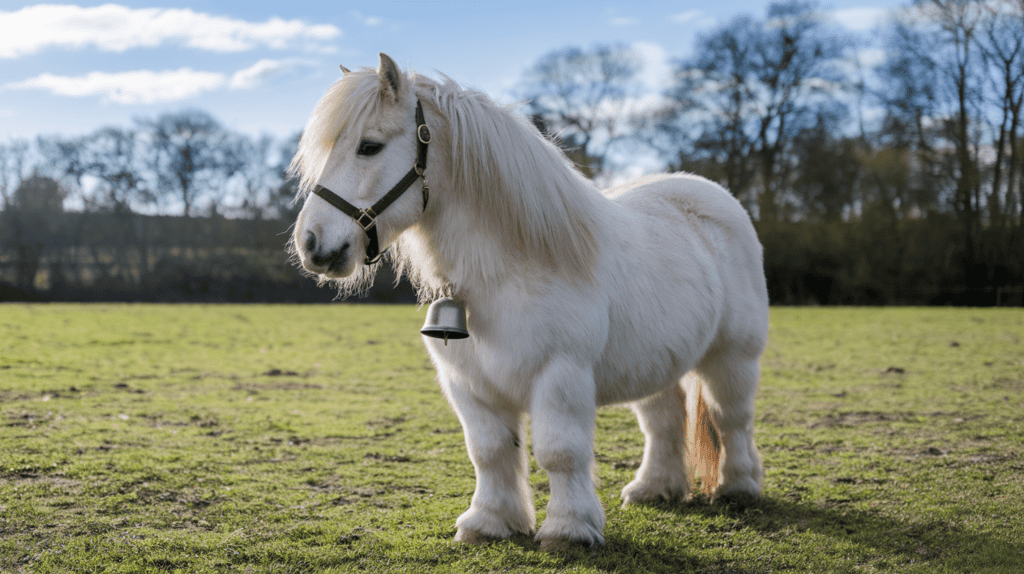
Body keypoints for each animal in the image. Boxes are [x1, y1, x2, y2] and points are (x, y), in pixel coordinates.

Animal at [289, 53, 769, 550]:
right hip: (656, 361)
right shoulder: (468, 384)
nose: (312, 244)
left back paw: (738, 487)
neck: (505, 273)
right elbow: (489, 451)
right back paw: (654, 488)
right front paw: (488, 521)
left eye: (369, 146)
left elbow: (560, 452)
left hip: (732, 358)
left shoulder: (559, 375)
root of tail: (712, 195)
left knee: (731, 416)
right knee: (664, 420)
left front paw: (569, 529)